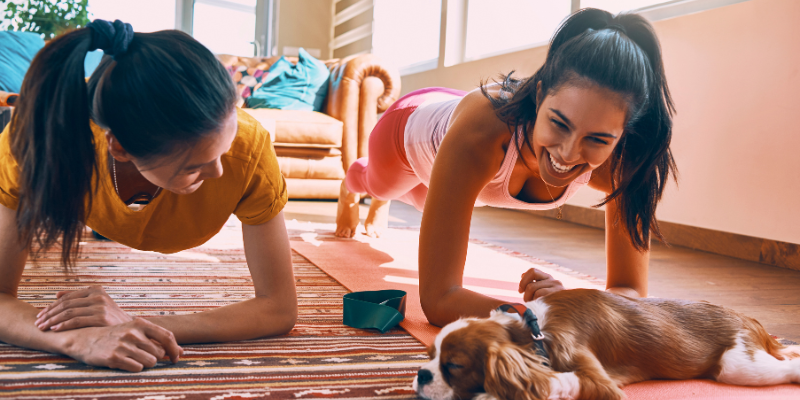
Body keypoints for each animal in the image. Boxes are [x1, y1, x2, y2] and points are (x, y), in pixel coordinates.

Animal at [412, 290, 800, 398]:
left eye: (454, 366)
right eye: (428, 356)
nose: (421, 375)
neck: (534, 331)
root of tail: (749, 319)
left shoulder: (599, 382)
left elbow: (557, 381)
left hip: (739, 366)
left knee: (785, 366)